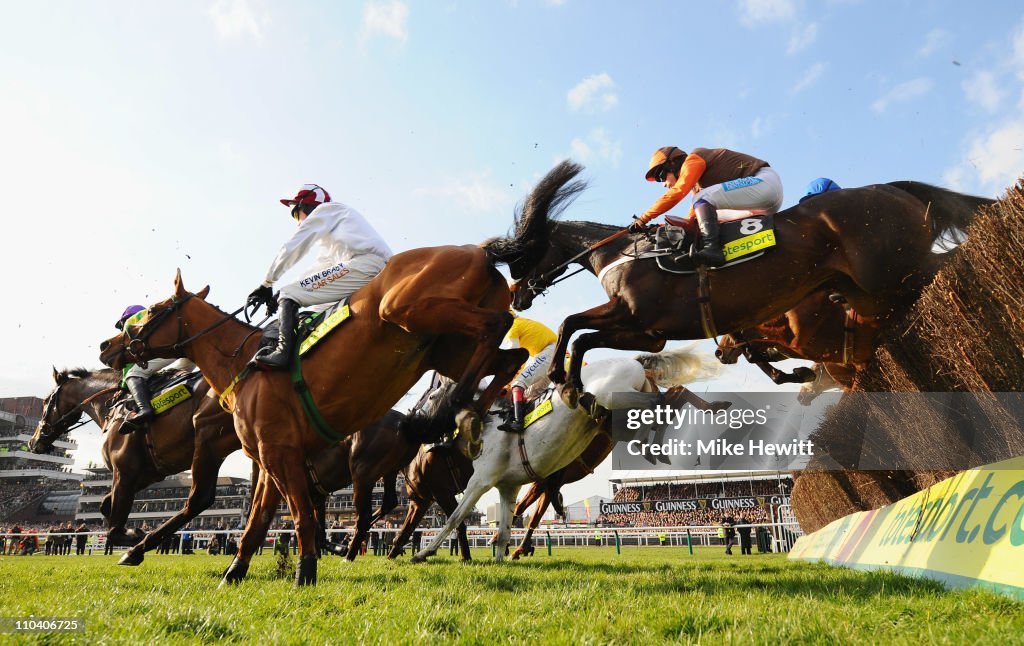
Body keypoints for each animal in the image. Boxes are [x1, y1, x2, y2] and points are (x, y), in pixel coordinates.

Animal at [491, 162, 987, 399]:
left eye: (522, 256)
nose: (518, 296)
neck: (621, 253)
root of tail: (892, 187)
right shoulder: (648, 334)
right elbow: (581, 333)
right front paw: (572, 384)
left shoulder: (636, 317)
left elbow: (573, 325)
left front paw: (564, 379)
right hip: (872, 289)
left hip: (893, 270)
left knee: (946, 271)